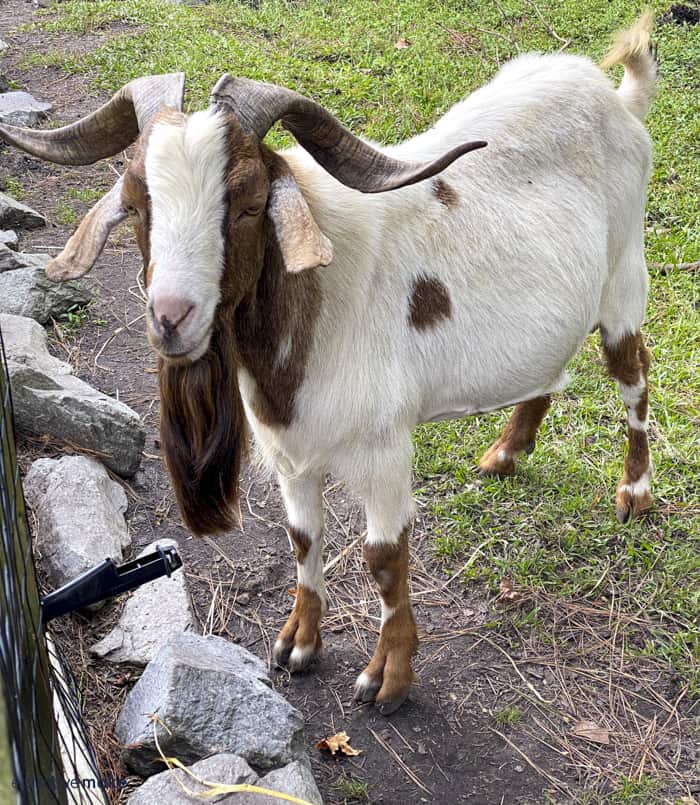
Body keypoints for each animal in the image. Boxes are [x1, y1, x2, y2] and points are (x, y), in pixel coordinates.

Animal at [0, 14, 656, 716]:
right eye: (138, 202)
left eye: (250, 204)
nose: (172, 318)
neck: (315, 317)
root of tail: (618, 100)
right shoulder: (290, 452)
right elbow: (302, 540)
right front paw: (298, 644)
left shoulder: (386, 450)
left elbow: (384, 558)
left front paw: (388, 679)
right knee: (553, 367)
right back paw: (507, 453)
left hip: (623, 282)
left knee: (633, 374)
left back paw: (635, 495)